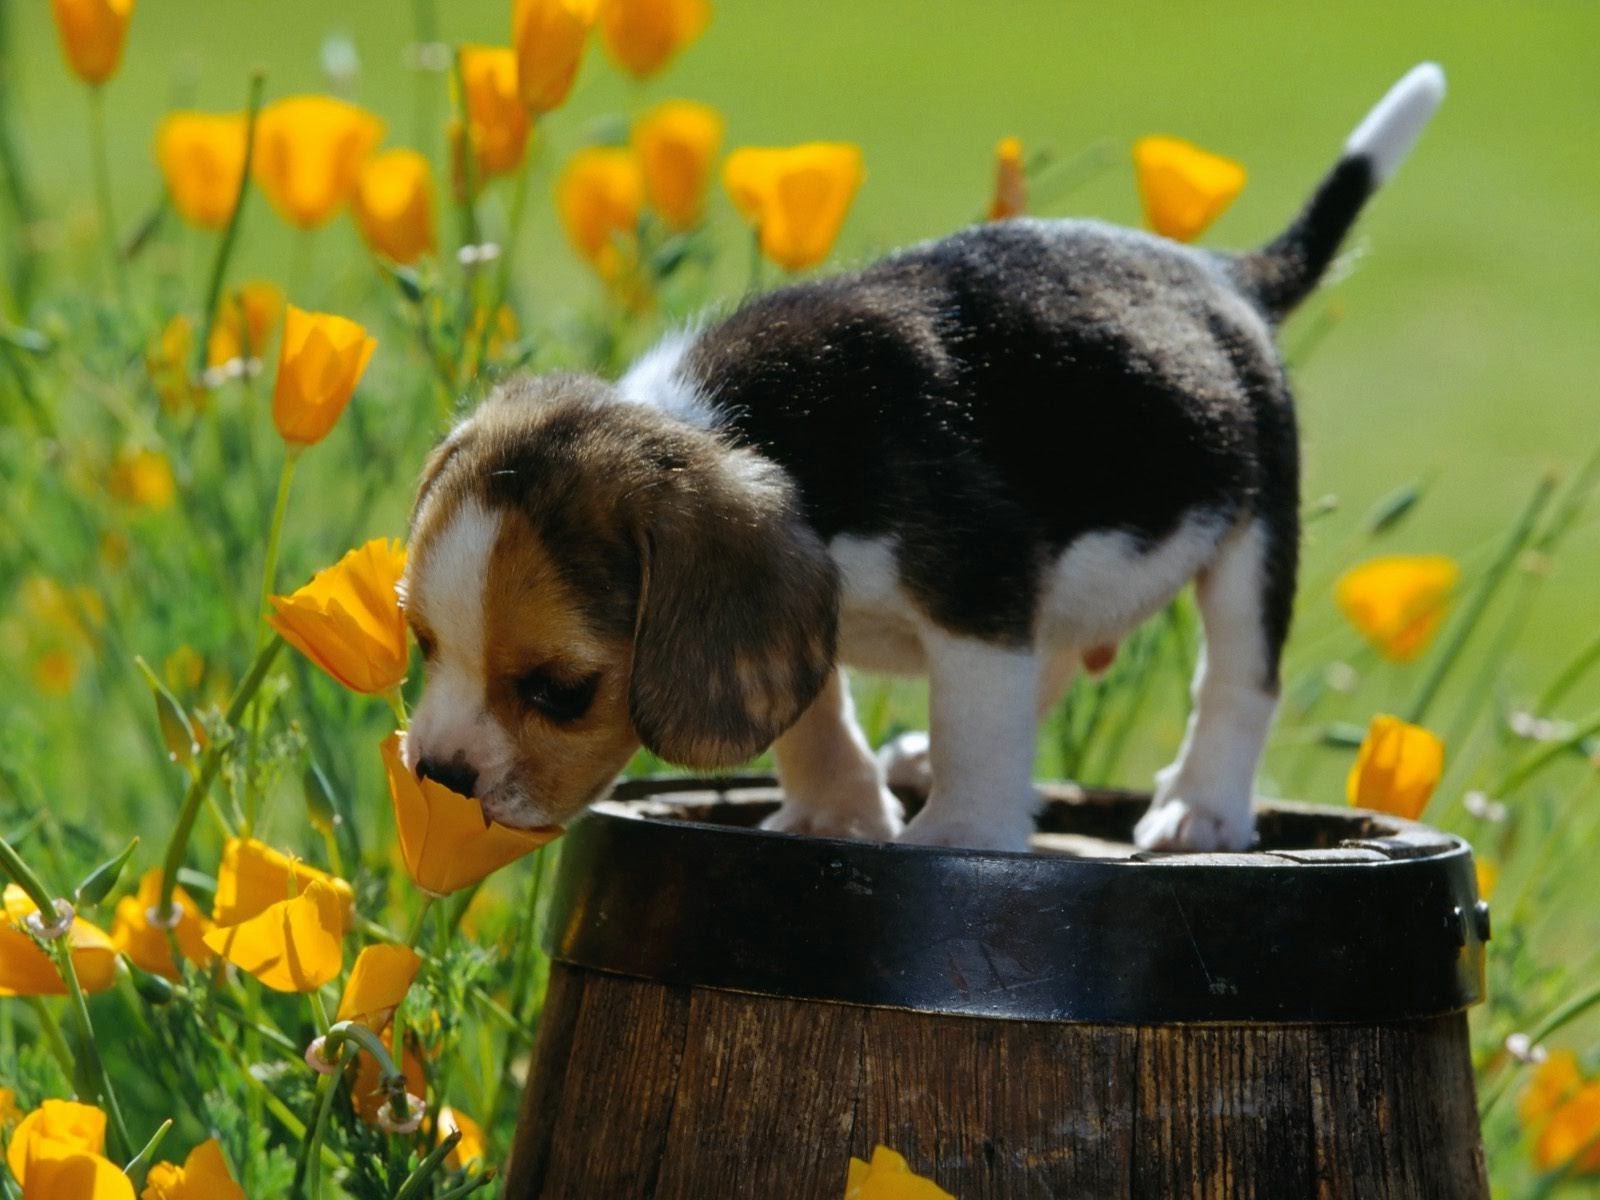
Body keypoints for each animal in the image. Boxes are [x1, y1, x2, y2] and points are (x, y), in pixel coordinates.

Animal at [400, 65, 1452, 857]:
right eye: (421, 642)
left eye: (561, 691)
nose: (438, 778)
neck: (743, 426)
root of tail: (1225, 277)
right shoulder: (812, 609)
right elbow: (814, 709)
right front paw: (836, 809)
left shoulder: (976, 591)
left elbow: (978, 726)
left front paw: (961, 834)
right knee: (1055, 655)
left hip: (1254, 531)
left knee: (1236, 678)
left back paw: (1201, 808)